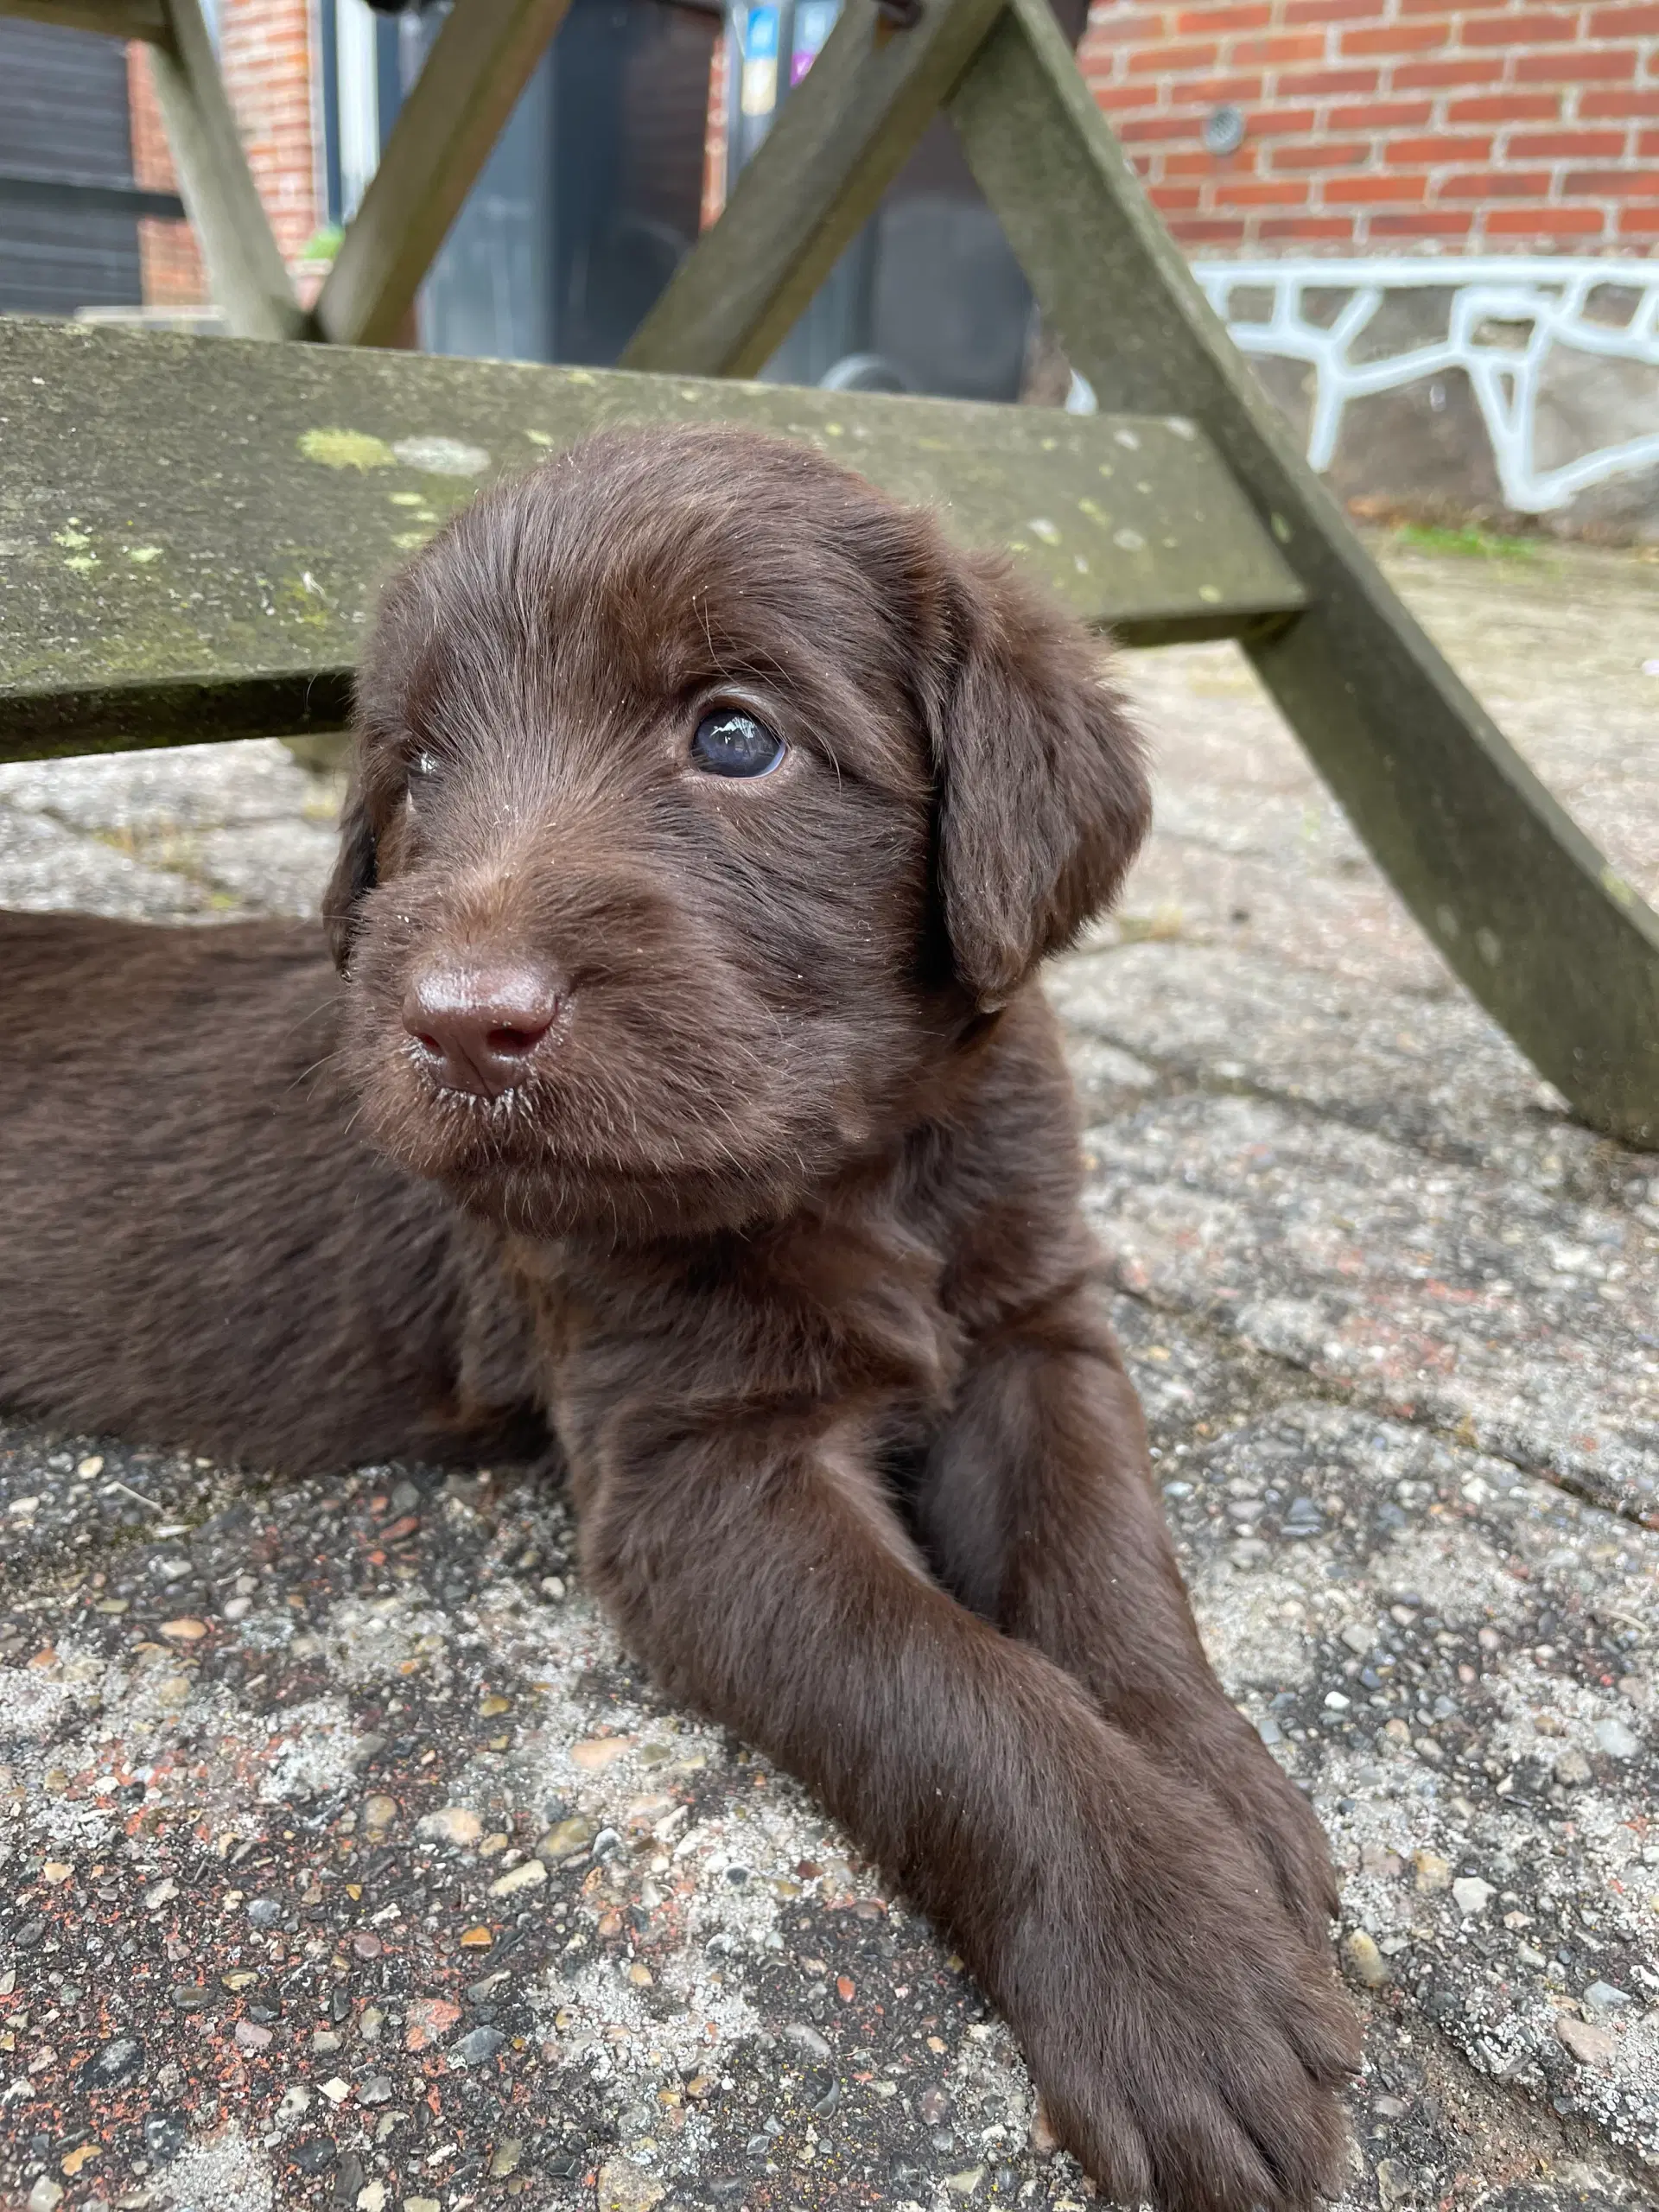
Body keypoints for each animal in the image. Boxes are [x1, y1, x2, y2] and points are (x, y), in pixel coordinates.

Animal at [3, 422, 1362, 2202]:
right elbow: (954, 1692)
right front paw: (1172, 1962)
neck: (851, 1171)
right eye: (418, 771)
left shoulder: (1034, 1324)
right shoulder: (699, 1471)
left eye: (736, 737)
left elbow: (1106, 1550)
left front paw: (1217, 1788)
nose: (461, 1027)